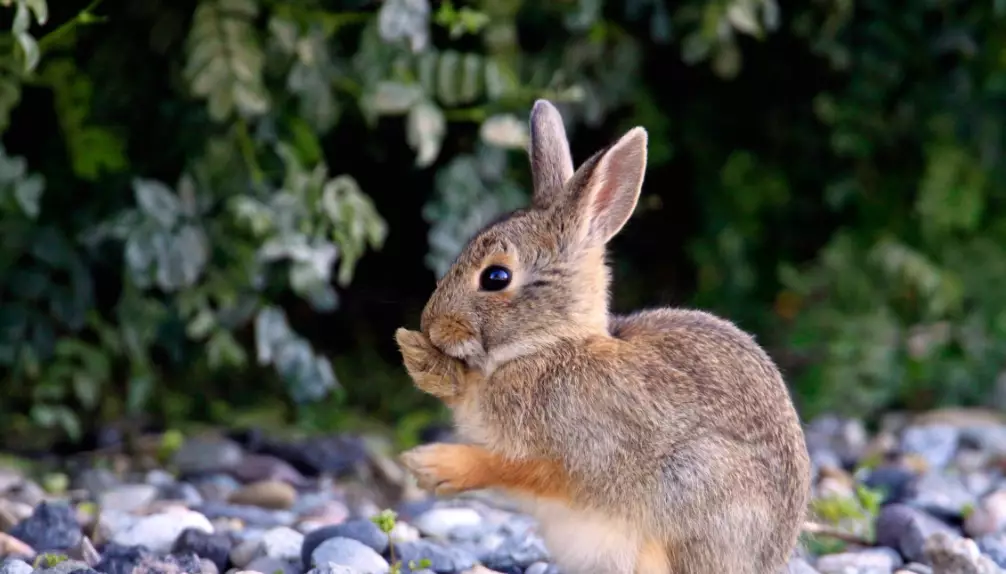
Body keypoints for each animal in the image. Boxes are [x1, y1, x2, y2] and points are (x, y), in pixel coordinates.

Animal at [394, 99, 812, 574]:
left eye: (496, 277)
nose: (431, 323)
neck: (550, 345)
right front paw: (420, 360)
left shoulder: (577, 454)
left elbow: (512, 468)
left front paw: (433, 465)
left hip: (694, 485)